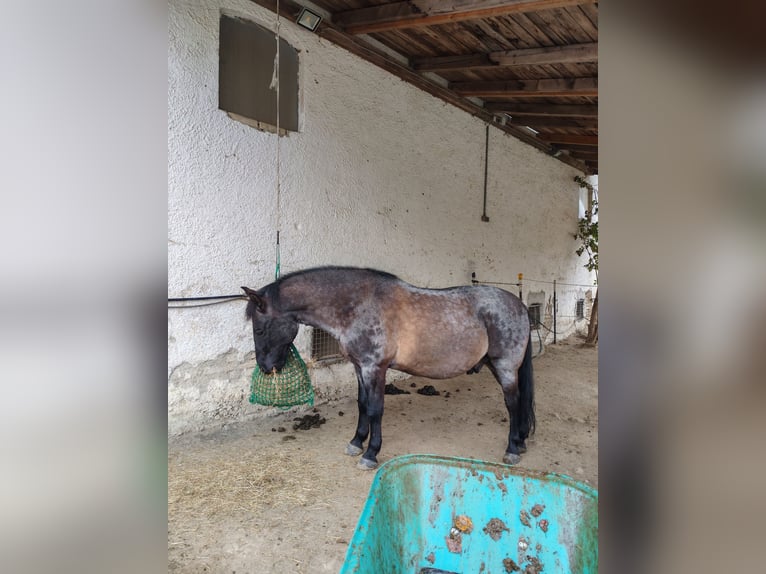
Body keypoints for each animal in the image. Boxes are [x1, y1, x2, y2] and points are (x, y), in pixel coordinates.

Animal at [243, 268, 536, 470]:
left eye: (259, 329)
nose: (266, 367)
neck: (357, 305)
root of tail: (520, 306)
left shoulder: (375, 368)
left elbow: (375, 410)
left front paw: (371, 454)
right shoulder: (360, 367)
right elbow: (362, 405)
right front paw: (356, 443)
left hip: (505, 367)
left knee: (513, 403)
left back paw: (512, 448)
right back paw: (520, 442)